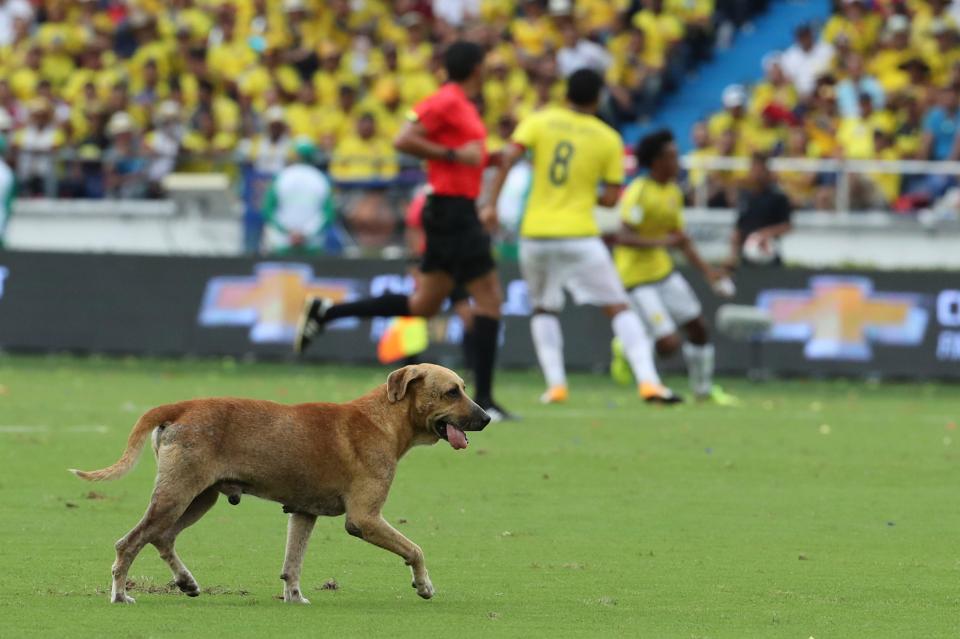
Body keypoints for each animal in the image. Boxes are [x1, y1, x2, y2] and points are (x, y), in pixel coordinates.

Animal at [69, 364, 488, 604]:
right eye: (452, 391)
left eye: (464, 388)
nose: (486, 418)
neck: (382, 419)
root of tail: (182, 406)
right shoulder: (364, 519)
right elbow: (415, 549)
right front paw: (424, 585)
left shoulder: (302, 512)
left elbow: (292, 564)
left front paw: (294, 597)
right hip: (177, 496)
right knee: (130, 543)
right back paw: (120, 594)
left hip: (197, 499)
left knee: (162, 538)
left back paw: (186, 582)